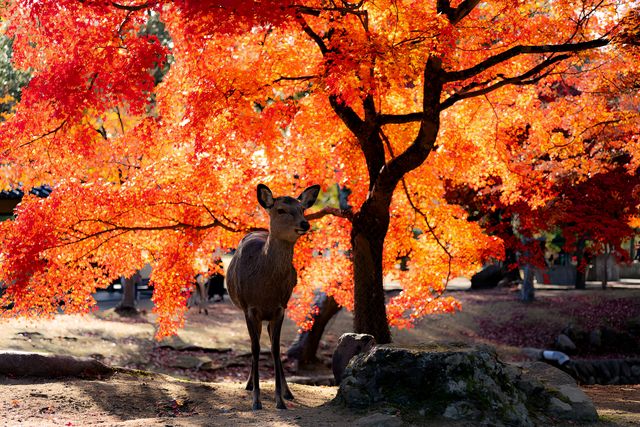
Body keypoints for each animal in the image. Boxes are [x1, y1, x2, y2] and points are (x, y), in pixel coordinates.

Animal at [226, 184, 320, 412]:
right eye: (281, 210)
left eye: (302, 209)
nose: (305, 223)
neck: (266, 290)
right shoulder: (250, 308)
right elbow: (255, 348)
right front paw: (256, 401)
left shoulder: (280, 308)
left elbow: (276, 350)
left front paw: (280, 400)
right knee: (256, 344)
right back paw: (249, 384)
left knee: (270, 342)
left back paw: (288, 392)